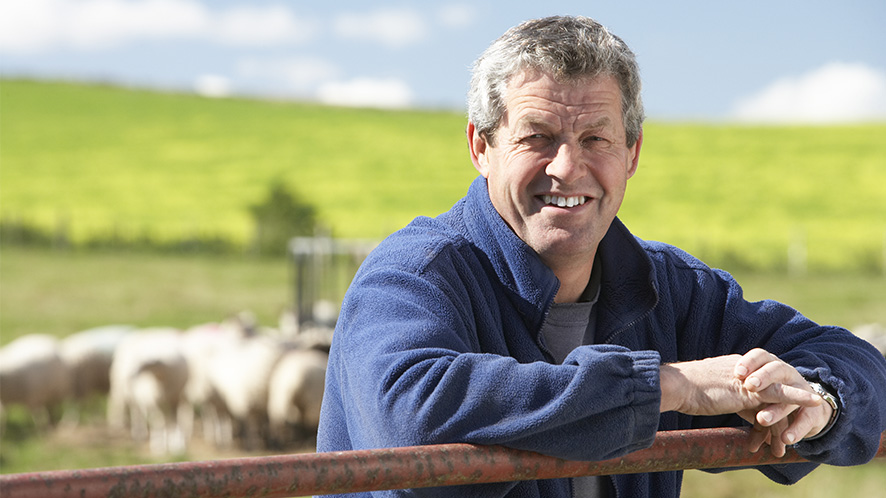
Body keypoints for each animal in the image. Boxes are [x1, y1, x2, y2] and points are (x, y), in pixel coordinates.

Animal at [108, 326, 190, 456]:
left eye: (143, 363)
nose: (130, 377)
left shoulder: (174, 399)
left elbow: (173, 421)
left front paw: (175, 446)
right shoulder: (153, 402)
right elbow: (158, 422)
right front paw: (159, 447)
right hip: (130, 393)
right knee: (135, 411)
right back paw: (138, 433)